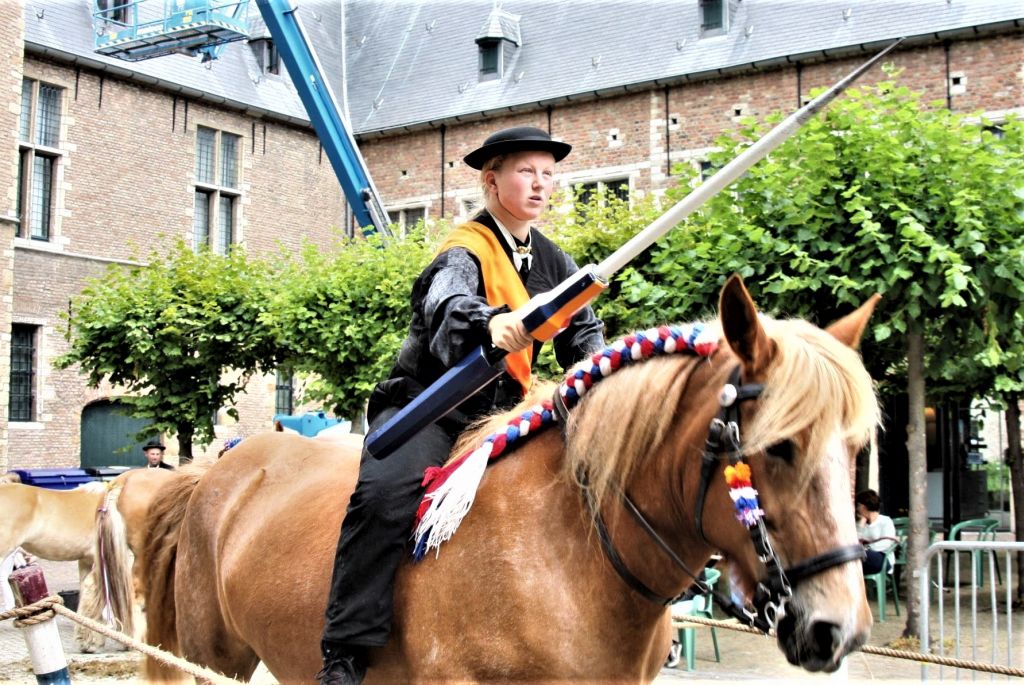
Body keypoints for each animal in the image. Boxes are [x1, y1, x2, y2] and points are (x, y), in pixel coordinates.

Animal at [142, 274, 880, 679]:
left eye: (854, 446)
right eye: (777, 446)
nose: (837, 629)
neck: (569, 554)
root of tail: (215, 470)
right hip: (210, 657)